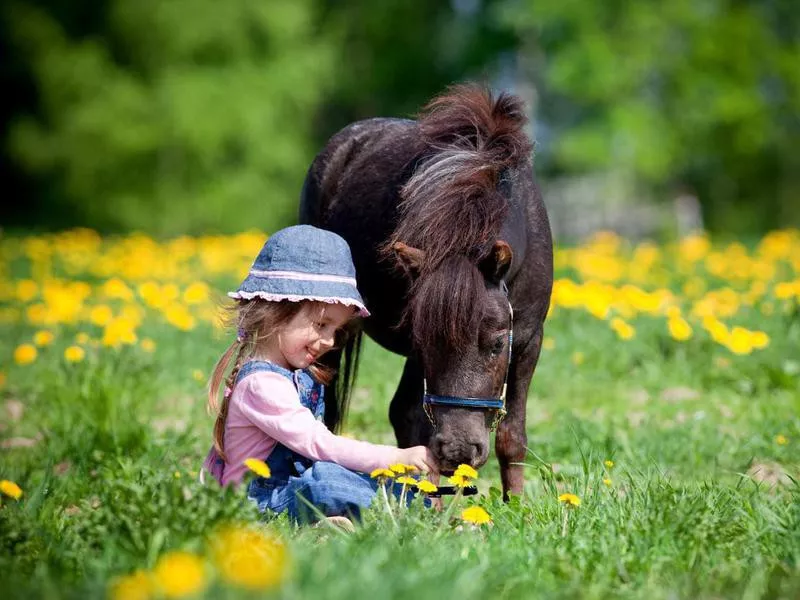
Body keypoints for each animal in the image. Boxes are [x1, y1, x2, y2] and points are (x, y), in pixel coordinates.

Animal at [296, 84, 552, 496]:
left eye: (498, 343)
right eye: (427, 339)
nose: (460, 450)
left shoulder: (529, 340)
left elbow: (512, 436)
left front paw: (516, 505)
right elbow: (416, 424)